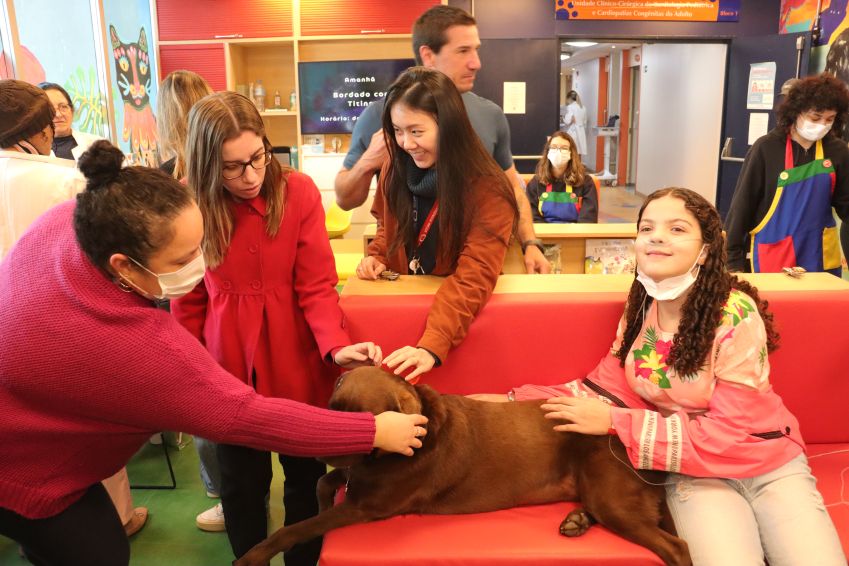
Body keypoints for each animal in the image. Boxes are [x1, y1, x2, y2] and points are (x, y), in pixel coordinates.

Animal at [235, 366, 691, 566]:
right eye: (332, 407)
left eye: (367, 420)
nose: (320, 451)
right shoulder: (357, 481)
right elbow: (324, 485)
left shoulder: (367, 506)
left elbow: (298, 527)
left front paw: (256, 555)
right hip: (597, 491)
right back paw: (576, 521)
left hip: (610, 494)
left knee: (676, 546)